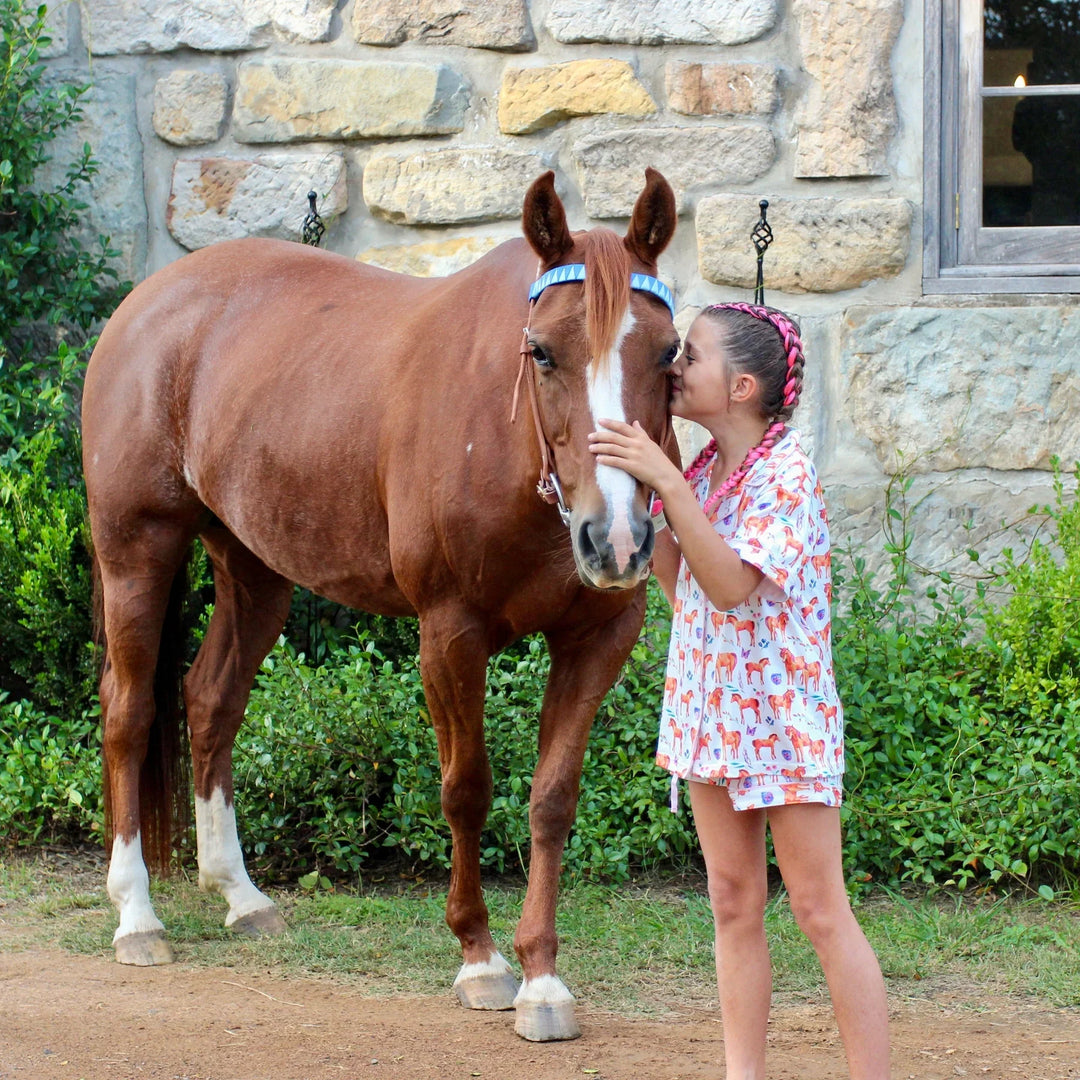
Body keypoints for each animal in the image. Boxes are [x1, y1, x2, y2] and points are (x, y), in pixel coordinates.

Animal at [82, 170, 673, 1045]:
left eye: (669, 352)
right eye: (541, 351)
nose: (619, 538)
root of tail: (148, 301)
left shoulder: (599, 636)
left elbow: (552, 799)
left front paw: (542, 979)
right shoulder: (449, 633)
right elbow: (467, 791)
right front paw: (480, 960)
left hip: (253, 566)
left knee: (210, 700)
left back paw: (240, 895)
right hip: (136, 549)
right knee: (126, 711)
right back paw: (137, 916)